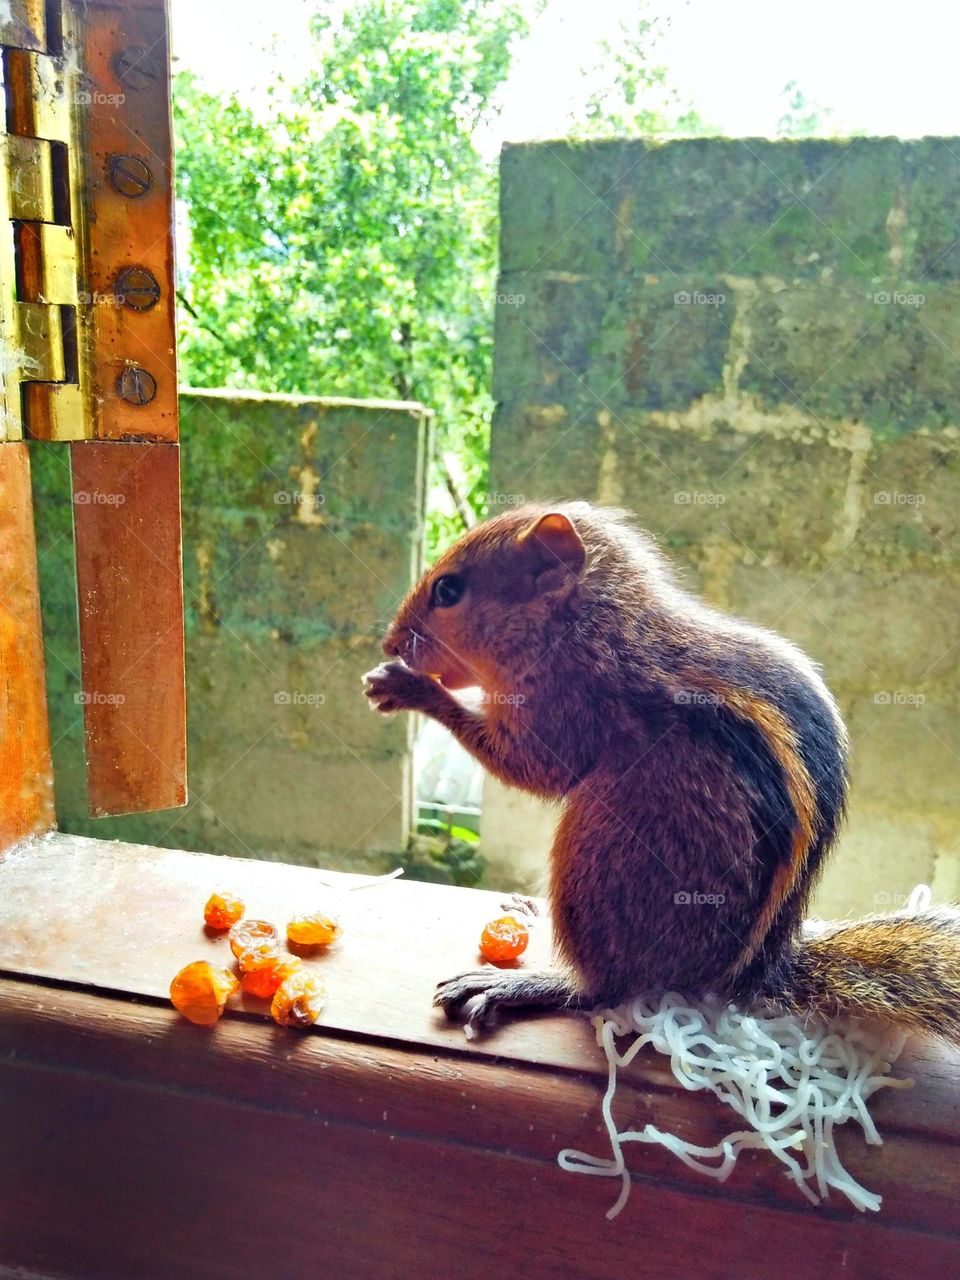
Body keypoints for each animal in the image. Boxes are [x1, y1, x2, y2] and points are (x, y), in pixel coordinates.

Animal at [363, 501, 960, 1040]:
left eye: (448, 591)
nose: (390, 642)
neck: (589, 620)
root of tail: (747, 973)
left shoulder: (568, 701)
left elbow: (533, 767)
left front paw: (410, 687)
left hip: (603, 857)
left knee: (606, 987)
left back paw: (526, 985)